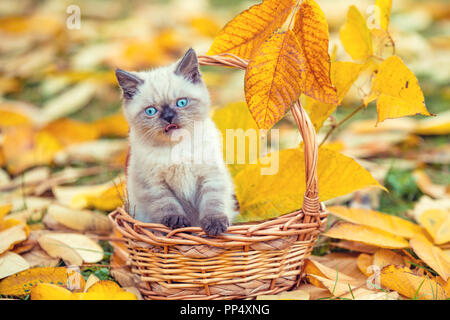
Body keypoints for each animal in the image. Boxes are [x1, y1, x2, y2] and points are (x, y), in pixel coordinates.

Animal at [115, 48, 239, 236]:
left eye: (181, 102)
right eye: (151, 111)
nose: (168, 117)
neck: (177, 147)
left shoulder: (210, 176)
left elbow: (212, 203)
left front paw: (214, 225)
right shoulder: (155, 185)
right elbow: (168, 206)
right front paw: (179, 225)